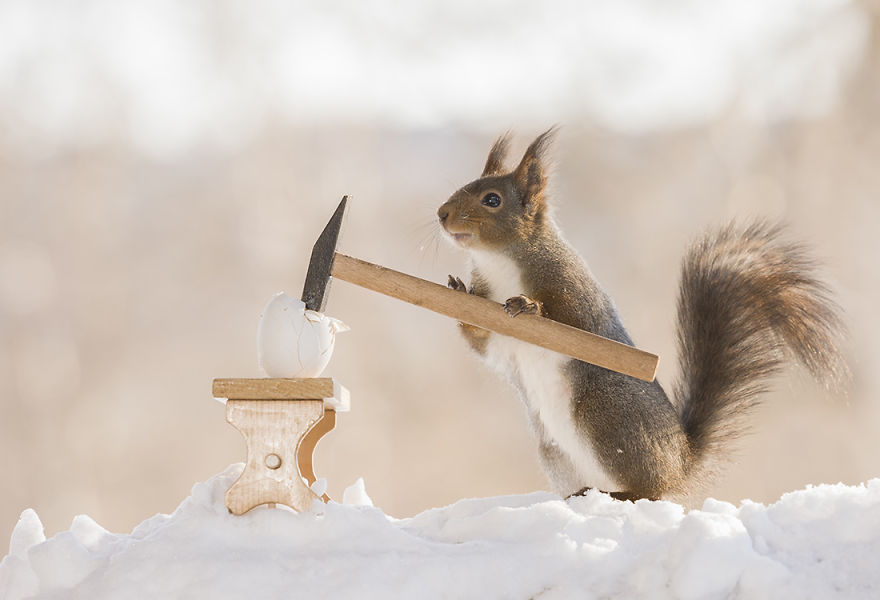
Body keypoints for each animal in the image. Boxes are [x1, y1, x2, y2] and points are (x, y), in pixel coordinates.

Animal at [436, 127, 848, 502]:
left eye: (492, 199)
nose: (442, 214)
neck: (499, 262)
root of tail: (681, 462)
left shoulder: (574, 289)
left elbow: (572, 321)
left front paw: (529, 306)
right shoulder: (498, 334)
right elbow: (484, 345)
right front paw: (458, 294)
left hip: (605, 415)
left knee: (649, 491)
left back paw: (625, 493)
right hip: (553, 449)